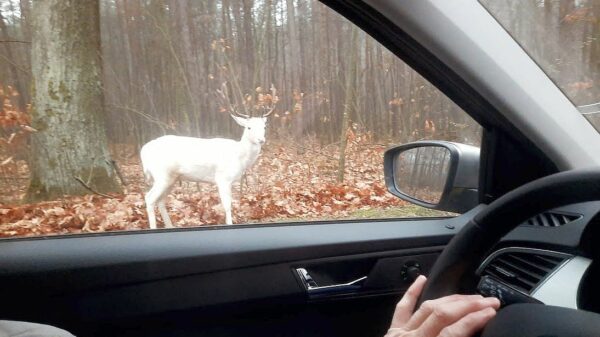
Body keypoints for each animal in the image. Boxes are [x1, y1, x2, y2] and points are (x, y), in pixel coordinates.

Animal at [141, 82, 276, 227]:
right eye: (248, 127)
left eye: (264, 127)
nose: (261, 140)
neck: (240, 158)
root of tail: (143, 151)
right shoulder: (222, 178)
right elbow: (227, 205)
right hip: (162, 175)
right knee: (149, 198)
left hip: (172, 178)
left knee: (160, 201)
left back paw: (170, 226)